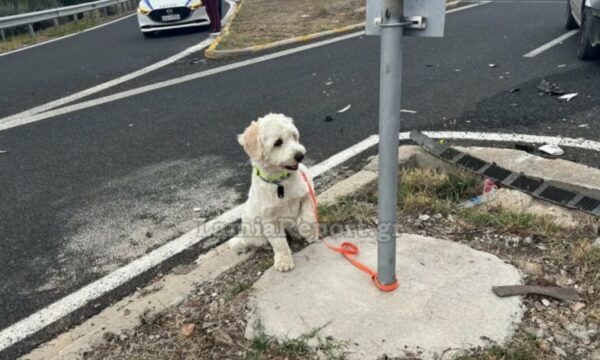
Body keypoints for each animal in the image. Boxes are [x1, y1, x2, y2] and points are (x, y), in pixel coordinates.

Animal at [231, 114, 318, 272]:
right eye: (278, 142)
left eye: (294, 136)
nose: (300, 155)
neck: (280, 182)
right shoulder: (269, 219)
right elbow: (279, 243)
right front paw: (284, 261)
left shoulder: (308, 191)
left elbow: (308, 216)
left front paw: (309, 232)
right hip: (252, 227)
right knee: (259, 241)